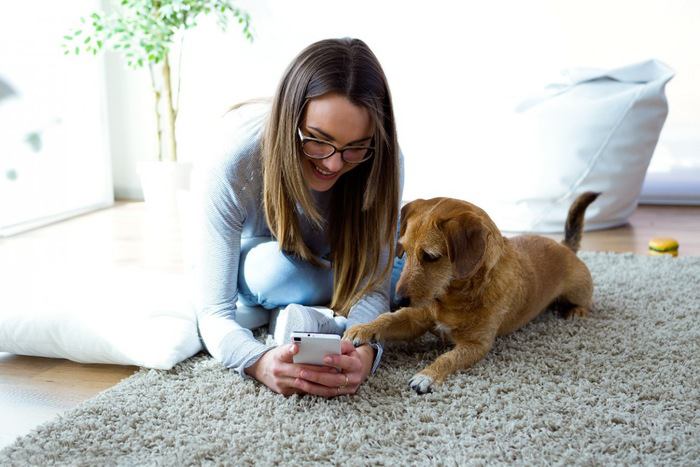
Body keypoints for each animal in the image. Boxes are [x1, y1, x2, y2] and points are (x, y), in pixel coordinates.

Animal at [342, 192, 600, 394]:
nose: (397, 300)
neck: (451, 299)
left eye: (431, 256)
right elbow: (388, 319)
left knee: (586, 303)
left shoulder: (476, 345)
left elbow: (448, 358)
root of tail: (564, 246)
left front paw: (428, 375)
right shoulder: (415, 319)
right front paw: (362, 329)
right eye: (404, 250)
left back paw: (575, 311)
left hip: (577, 290)